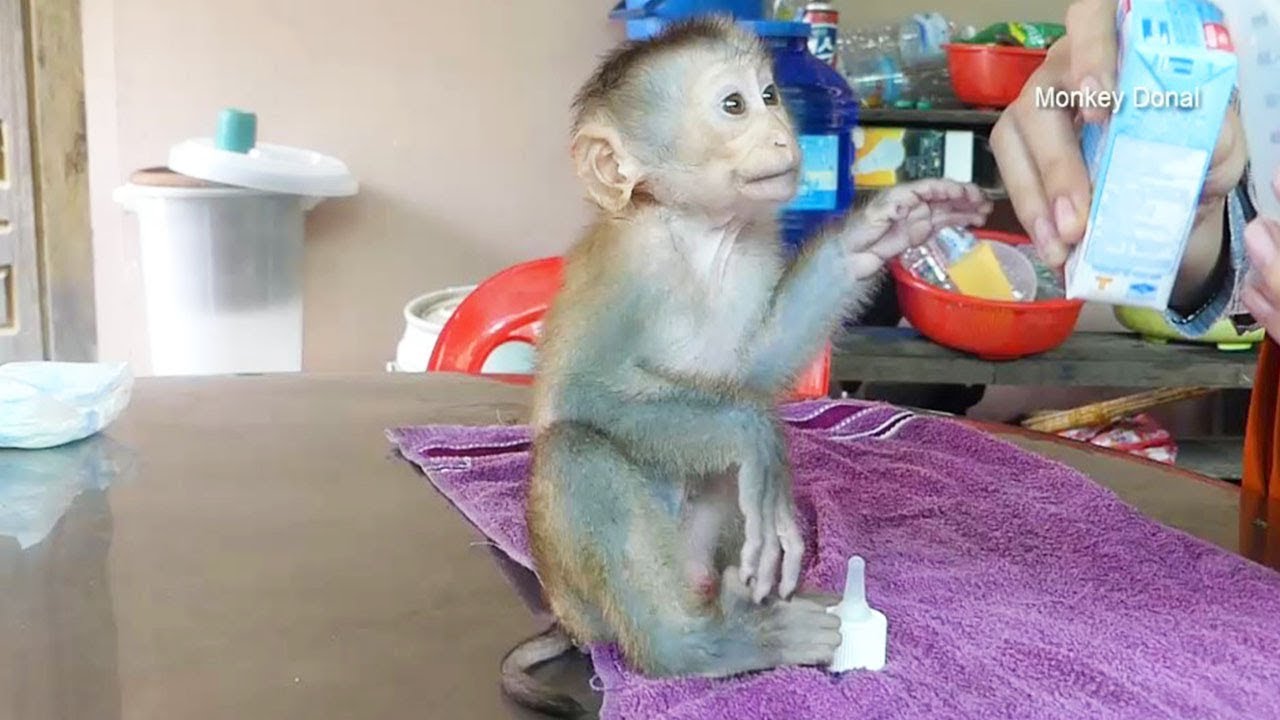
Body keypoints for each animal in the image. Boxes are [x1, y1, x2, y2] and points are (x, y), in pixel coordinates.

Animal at [501, 17, 991, 716]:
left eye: (768, 95)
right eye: (733, 106)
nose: (783, 134)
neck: (701, 235)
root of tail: (564, 619)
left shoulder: (755, 248)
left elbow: (753, 372)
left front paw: (873, 234)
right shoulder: (634, 261)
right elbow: (585, 396)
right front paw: (755, 439)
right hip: (587, 600)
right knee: (577, 447)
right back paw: (699, 648)